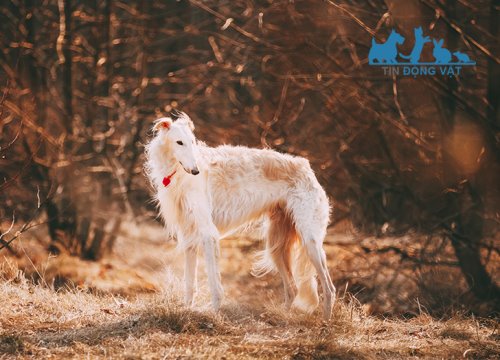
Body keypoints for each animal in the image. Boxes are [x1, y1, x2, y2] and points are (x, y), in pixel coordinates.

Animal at [145, 114, 336, 320]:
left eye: (193, 142)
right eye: (179, 142)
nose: (195, 171)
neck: (178, 173)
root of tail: (307, 168)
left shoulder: (209, 234)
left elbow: (214, 284)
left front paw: (214, 314)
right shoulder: (189, 237)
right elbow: (190, 284)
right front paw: (186, 311)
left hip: (310, 241)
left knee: (329, 288)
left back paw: (326, 321)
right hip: (276, 245)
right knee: (292, 289)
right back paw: (283, 317)